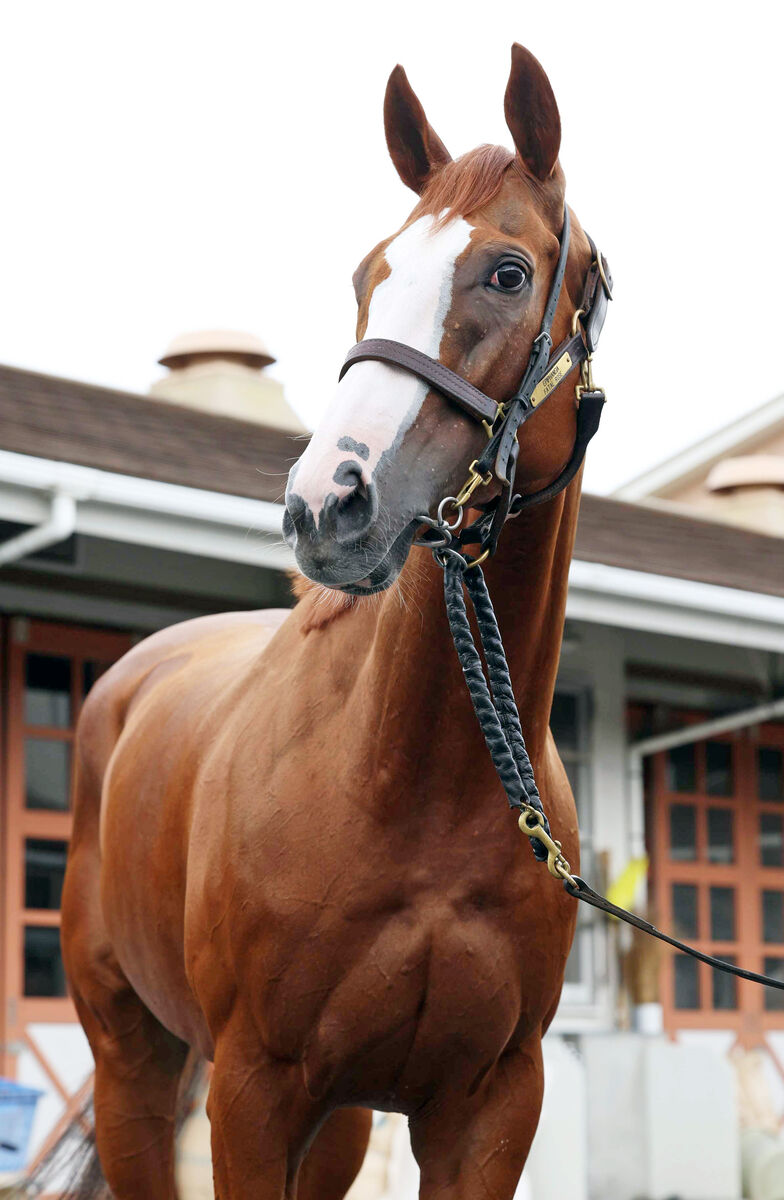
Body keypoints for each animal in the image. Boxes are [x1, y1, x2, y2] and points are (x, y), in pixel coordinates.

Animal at [61, 44, 595, 1200]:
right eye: (367, 275)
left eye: (507, 273)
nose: (328, 504)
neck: (408, 784)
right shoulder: (252, 1094)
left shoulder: (490, 1109)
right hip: (133, 1064)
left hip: (342, 1118)